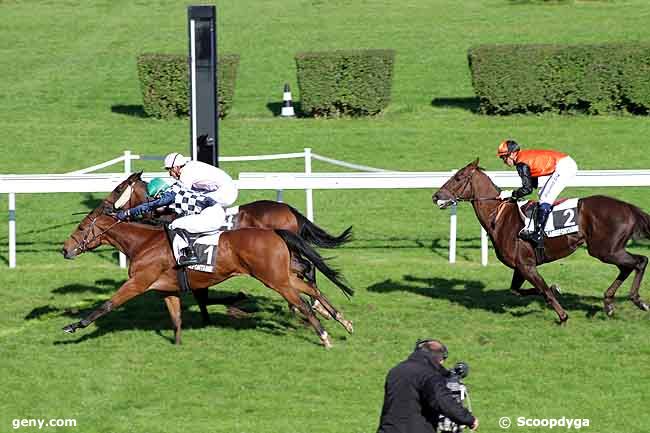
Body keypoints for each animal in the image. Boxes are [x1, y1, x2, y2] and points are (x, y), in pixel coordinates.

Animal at [60, 174, 352, 346]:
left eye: (120, 189)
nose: (64, 249)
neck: (145, 239)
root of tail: (285, 210)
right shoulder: (172, 286)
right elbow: (184, 311)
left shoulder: (140, 282)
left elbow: (107, 304)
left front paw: (73, 326)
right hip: (282, 271)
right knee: (307, 280)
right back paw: (334, 317)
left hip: (275, 276)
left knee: (305, 282)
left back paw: (317, 321)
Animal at [430, 158, 648, 320]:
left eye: (458, 177)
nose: (436, 196)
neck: (499, 217)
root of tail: (628, 207)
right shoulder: (520, 266)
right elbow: (518, 290)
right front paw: (556, 288)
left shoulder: (527, 266)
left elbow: (543, 290)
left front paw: (562, 316)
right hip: (610, 250)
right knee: (629, 266)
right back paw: (609, 303)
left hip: (605, 250)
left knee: (639, 261)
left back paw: (637, 300)